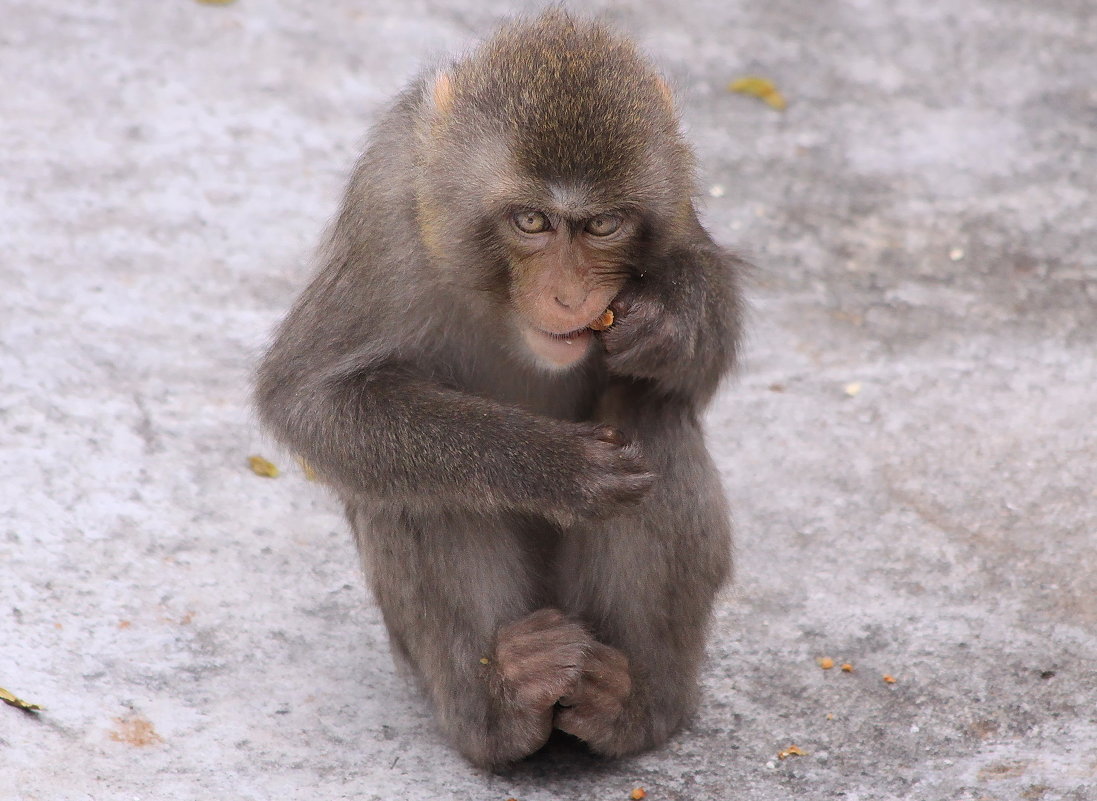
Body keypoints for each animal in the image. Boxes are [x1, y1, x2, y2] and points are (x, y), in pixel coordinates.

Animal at [252, 10, 741, 768]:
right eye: (531, 221)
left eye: (602, 224)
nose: (569, 295)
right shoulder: (386, 213)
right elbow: (313, 398)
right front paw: (553, 467)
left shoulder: (673, 188)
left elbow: (694, 362)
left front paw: (669, 318)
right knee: (417, 487)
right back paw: (504, 704)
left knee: (650, 413)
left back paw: (630, 704)